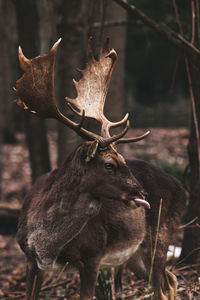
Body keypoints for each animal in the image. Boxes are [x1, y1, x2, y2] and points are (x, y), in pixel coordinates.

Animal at [14, 38, 186, 298]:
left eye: (124, 159)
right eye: (109, 164)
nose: (142, 192)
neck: (46, 244)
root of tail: (181, 187)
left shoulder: (92, 256)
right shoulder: (30, 260)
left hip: (161, 236)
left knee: (163, 287)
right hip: (135, 254)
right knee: (171, 279)